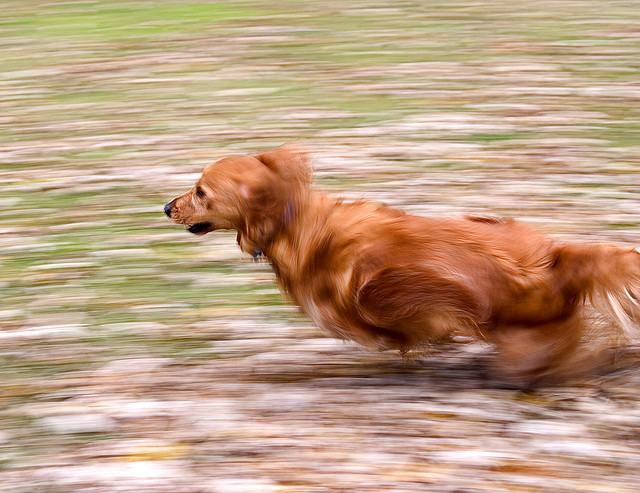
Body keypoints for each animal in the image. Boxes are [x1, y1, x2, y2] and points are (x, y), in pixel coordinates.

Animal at [165, 145, 640, 383]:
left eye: (201, 191)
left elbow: (389, 314)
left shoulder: (383, 297)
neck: (291, 221)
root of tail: (555, 263)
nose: (166, 207)